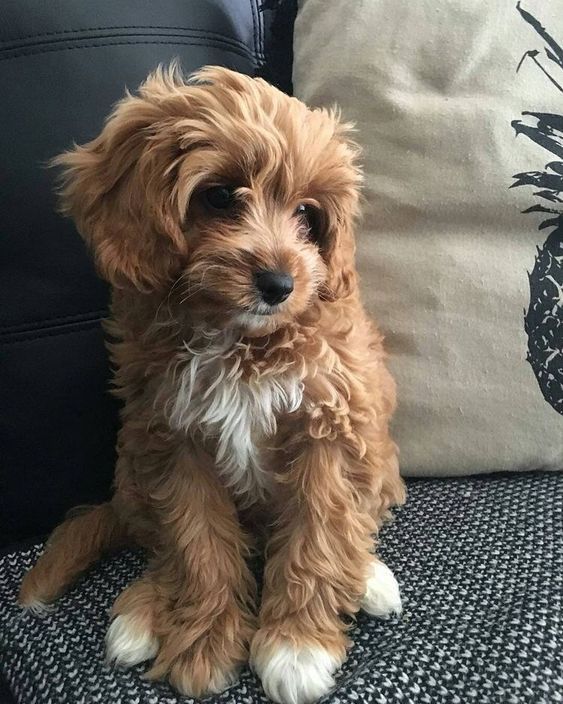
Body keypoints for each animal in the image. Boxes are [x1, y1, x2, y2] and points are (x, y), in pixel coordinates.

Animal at [17, 64, 406, 704]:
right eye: (220, 195)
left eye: (308, 215)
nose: (278, 283)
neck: (242, 343)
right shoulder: (173, 441)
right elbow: (195, 543)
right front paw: (203, 642)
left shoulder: (327, 424)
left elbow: (319, 529)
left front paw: (297, 645)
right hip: (132, 468)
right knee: (157, 545)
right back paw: (144, 611)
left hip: (377, 456)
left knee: (358, 519)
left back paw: (368, 577)